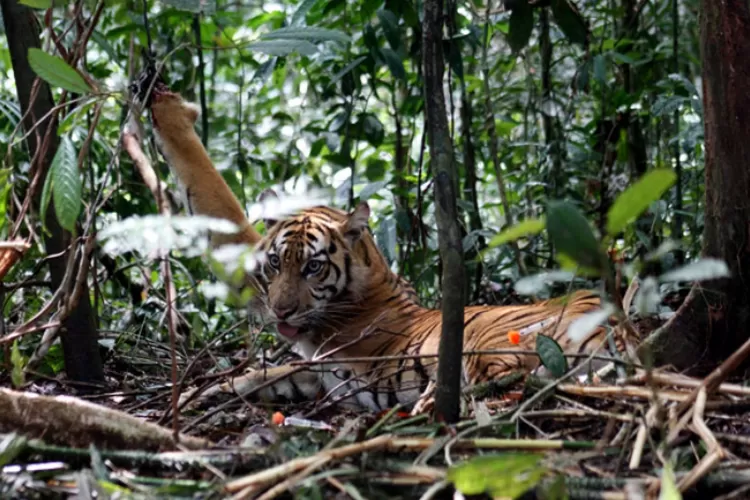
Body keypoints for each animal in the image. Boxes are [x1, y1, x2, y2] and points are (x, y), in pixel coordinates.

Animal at [131, 71, 636, 414]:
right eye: (275, 264)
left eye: (313, 266)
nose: (281, 312)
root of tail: (624, 329)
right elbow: (262, 374)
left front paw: (167, 108)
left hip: (494, 342)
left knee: (508, 387)